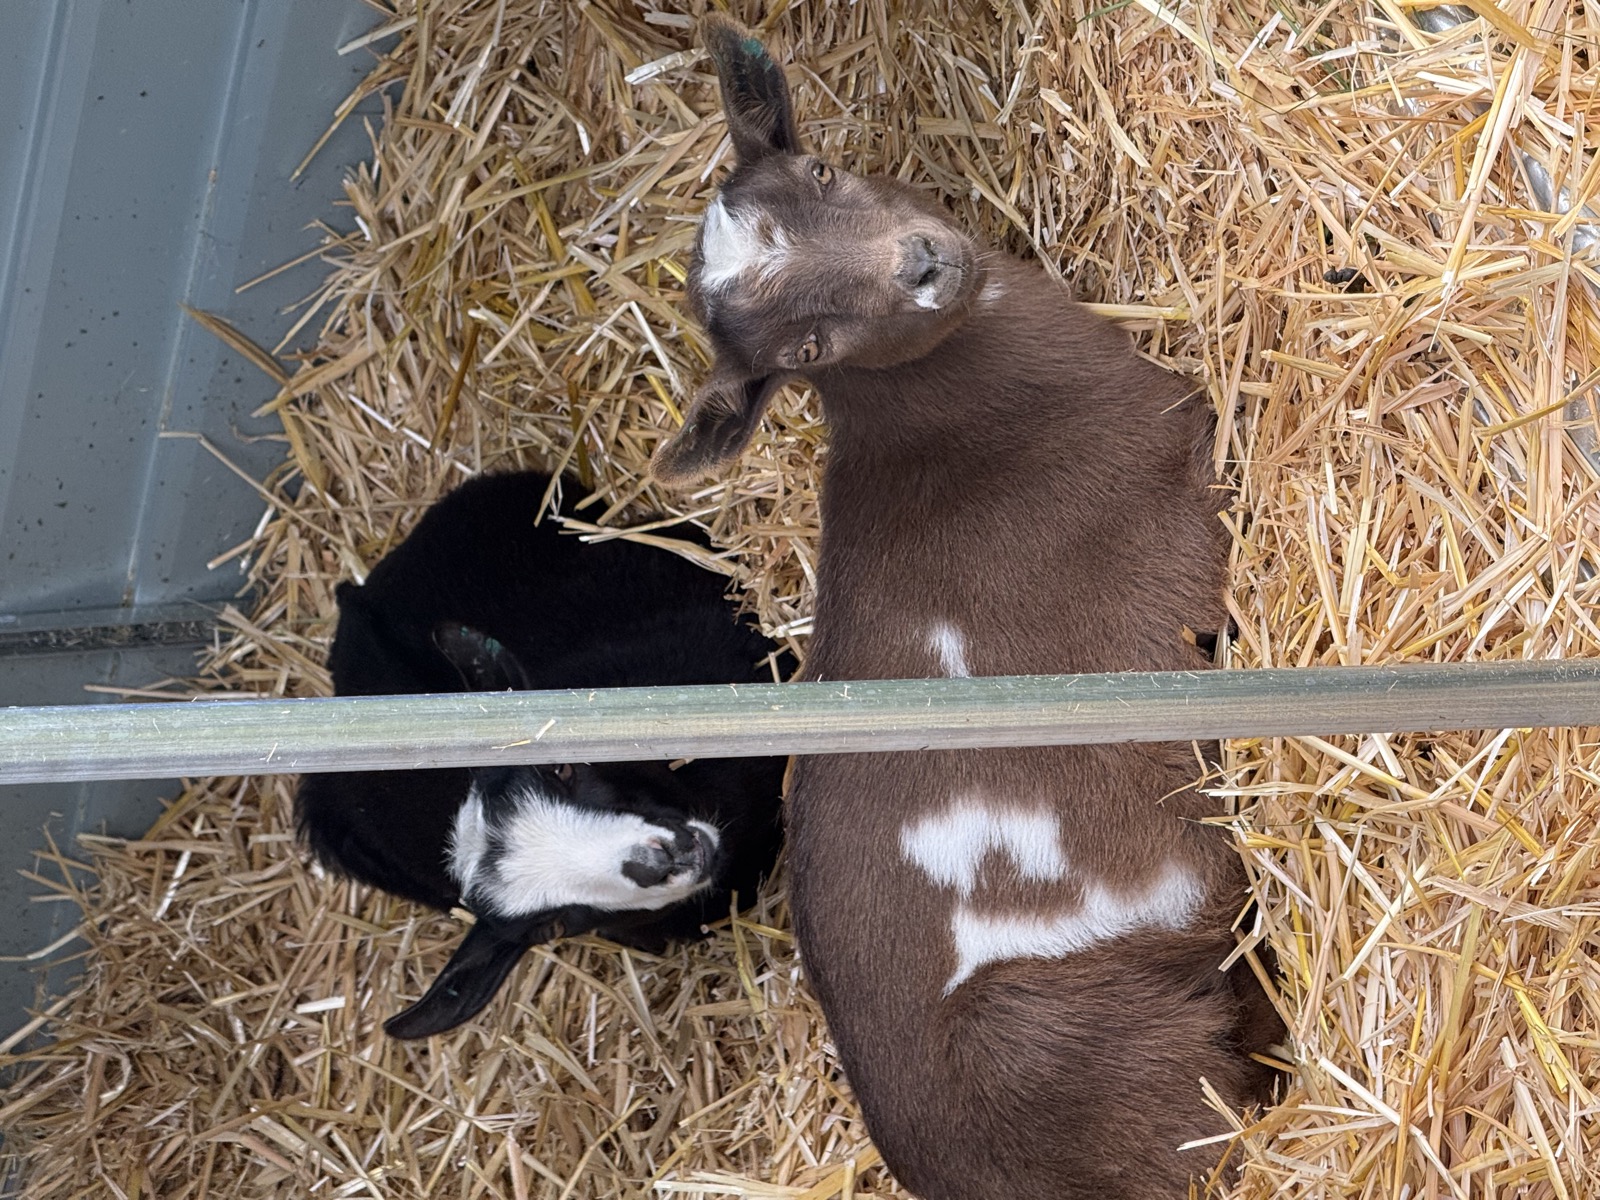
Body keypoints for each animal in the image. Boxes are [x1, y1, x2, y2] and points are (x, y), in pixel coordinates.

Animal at [651, 18, 1282, 1198]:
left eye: (822, 170)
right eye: (802, 352)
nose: (922, 266)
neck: (958, 424)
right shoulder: (1174, 464)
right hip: (1077, 1039)